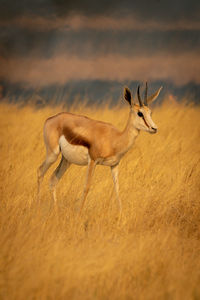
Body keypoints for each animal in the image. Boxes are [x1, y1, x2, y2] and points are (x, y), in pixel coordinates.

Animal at [37, 83, 162, 212]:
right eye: (140, 113)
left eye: (150, 112)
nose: (154, 128)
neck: (115, 139)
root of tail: (51, 119)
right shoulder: (93, 161)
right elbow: (87, 187)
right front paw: (79, 213)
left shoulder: (114, 165)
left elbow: (117, 189)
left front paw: (121, 213)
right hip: (53, 154)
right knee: (40, 171)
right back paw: (37, 207)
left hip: (66, 160)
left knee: (53, 180)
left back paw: (55, 211)